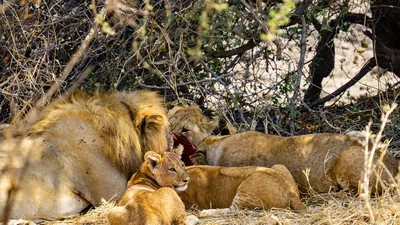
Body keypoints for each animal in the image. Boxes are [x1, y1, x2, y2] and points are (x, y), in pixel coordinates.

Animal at [178, 163, 306, 213]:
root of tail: (291, 191)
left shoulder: (191, 204)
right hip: (279, 165)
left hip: (248, 187)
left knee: (233, 210)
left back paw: (205, 212)